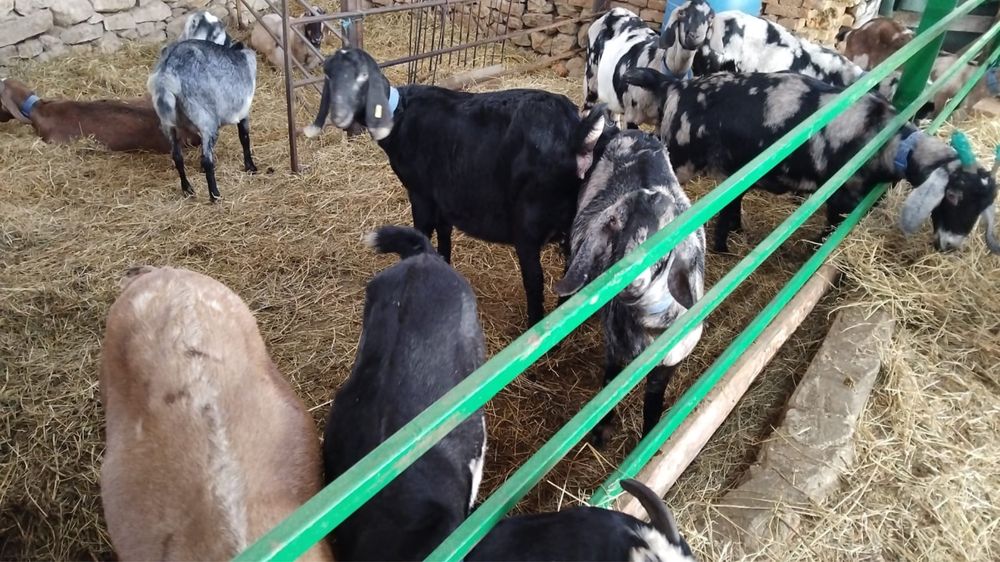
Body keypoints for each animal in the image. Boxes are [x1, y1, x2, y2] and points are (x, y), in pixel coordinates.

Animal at [148, 15, 257, 202]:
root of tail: (167, 74)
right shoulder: (243, 111)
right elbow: (244, 138)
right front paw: (250, 166)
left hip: (169, 123)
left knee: (177, 156)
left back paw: (187, 189)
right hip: (206, 118)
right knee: (208, 160)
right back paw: (215, 195)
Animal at [304, 47, 593, 326]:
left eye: (363, 77)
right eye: (329, 76)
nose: (339, 116)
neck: (399, 114)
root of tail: (576, 133)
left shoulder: (420, 192)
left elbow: (422, 230)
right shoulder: (442, 195)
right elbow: (444, 234)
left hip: (529, 222)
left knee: (534, 282)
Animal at [555, 106, 705, 446]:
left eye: (667, 241)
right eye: (615, 226)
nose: (628, 280)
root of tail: (623, 130)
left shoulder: (668, 362)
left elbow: (653, 403)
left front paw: (651, 440)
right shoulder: (615, 350)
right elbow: (609, 388)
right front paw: (601, 432)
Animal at [624, 68, 1000, 255]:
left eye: (984, 206)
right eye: (952, 196)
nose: (950, 246)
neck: (885, 138)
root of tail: (676, 86)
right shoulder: (842, 195)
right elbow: (831, 228)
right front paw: (816, 251)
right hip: (678, 157)